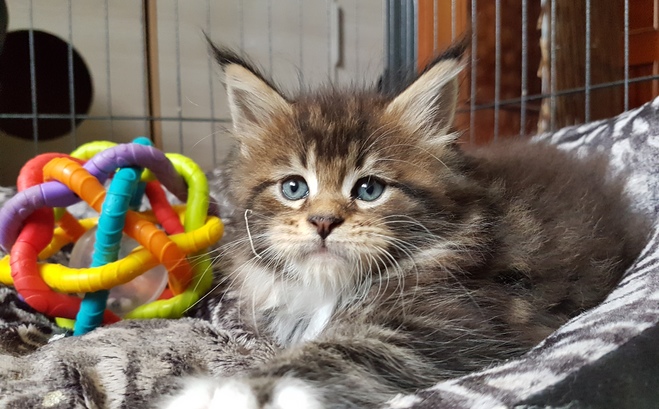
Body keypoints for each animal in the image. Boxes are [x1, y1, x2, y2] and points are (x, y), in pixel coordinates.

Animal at [164, 42, 644, 408]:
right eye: (294, 187)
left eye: (369, 189)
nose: (323, 221)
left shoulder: (443, 326)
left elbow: (332, 355)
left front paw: (223, 391)